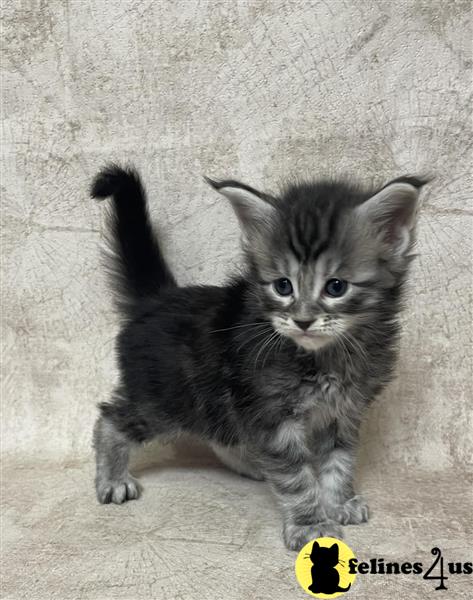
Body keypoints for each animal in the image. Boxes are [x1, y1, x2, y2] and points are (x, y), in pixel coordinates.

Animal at [90, 166, 426, 552]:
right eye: (283, 286)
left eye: (336, 287)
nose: (303, 320)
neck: (325, 357)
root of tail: (159, 299)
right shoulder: (274, 415)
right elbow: (297, 477)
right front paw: (311, 524)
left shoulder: (343, 412)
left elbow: (338, 462)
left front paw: (339, 502)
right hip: (167, 401)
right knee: (110, 418)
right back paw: (113, 478)